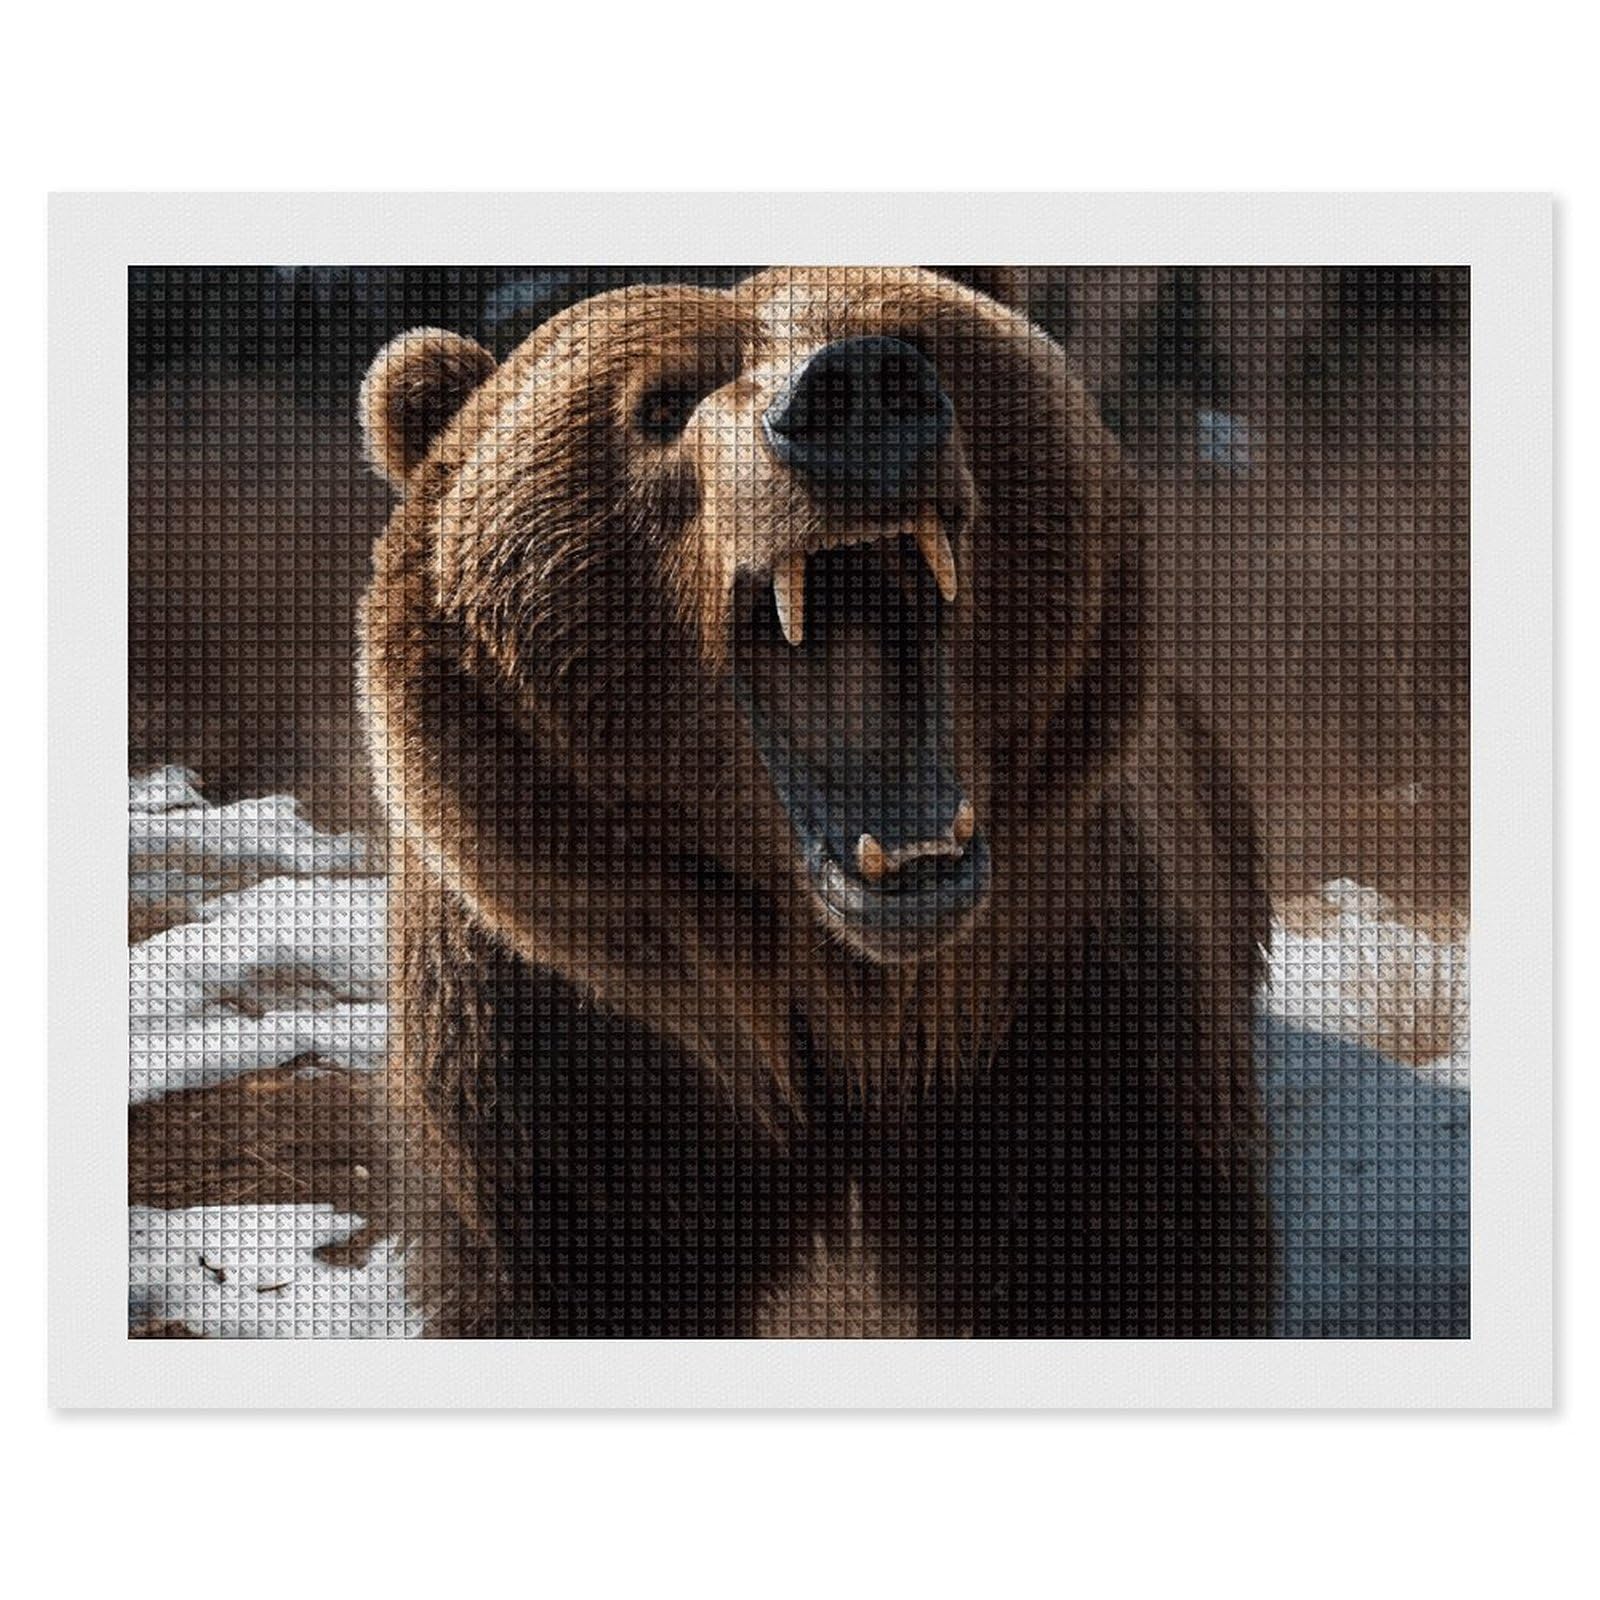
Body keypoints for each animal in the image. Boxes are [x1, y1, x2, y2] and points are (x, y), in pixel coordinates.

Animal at [356, 267, 1273, 1337]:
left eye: (917, 340)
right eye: (659, 403)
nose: (858, 394)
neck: (846, 999)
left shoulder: (1069, 1012)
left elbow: (1126, 1250)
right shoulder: (557, 1066)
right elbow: (558, 1273)